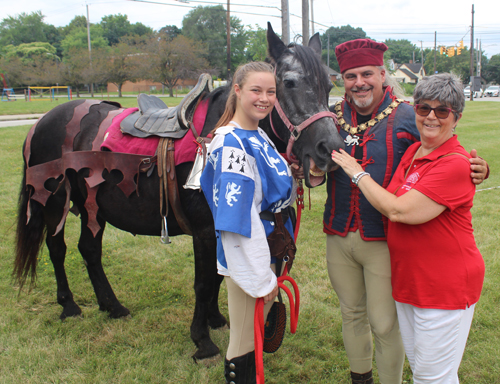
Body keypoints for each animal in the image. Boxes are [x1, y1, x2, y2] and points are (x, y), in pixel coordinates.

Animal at [14, 24, 344, 360]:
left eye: (329, 86)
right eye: (289, 83)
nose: (329, 149)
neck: (219, 133)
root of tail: (40, 123)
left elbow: (217, 277)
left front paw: (215, 319)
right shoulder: (204, 230)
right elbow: (203, 283)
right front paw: (202, 340)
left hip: (93, 207)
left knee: (89, 249)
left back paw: (112, 306)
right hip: (55, 203)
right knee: (57, 248)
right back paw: (69, 305)